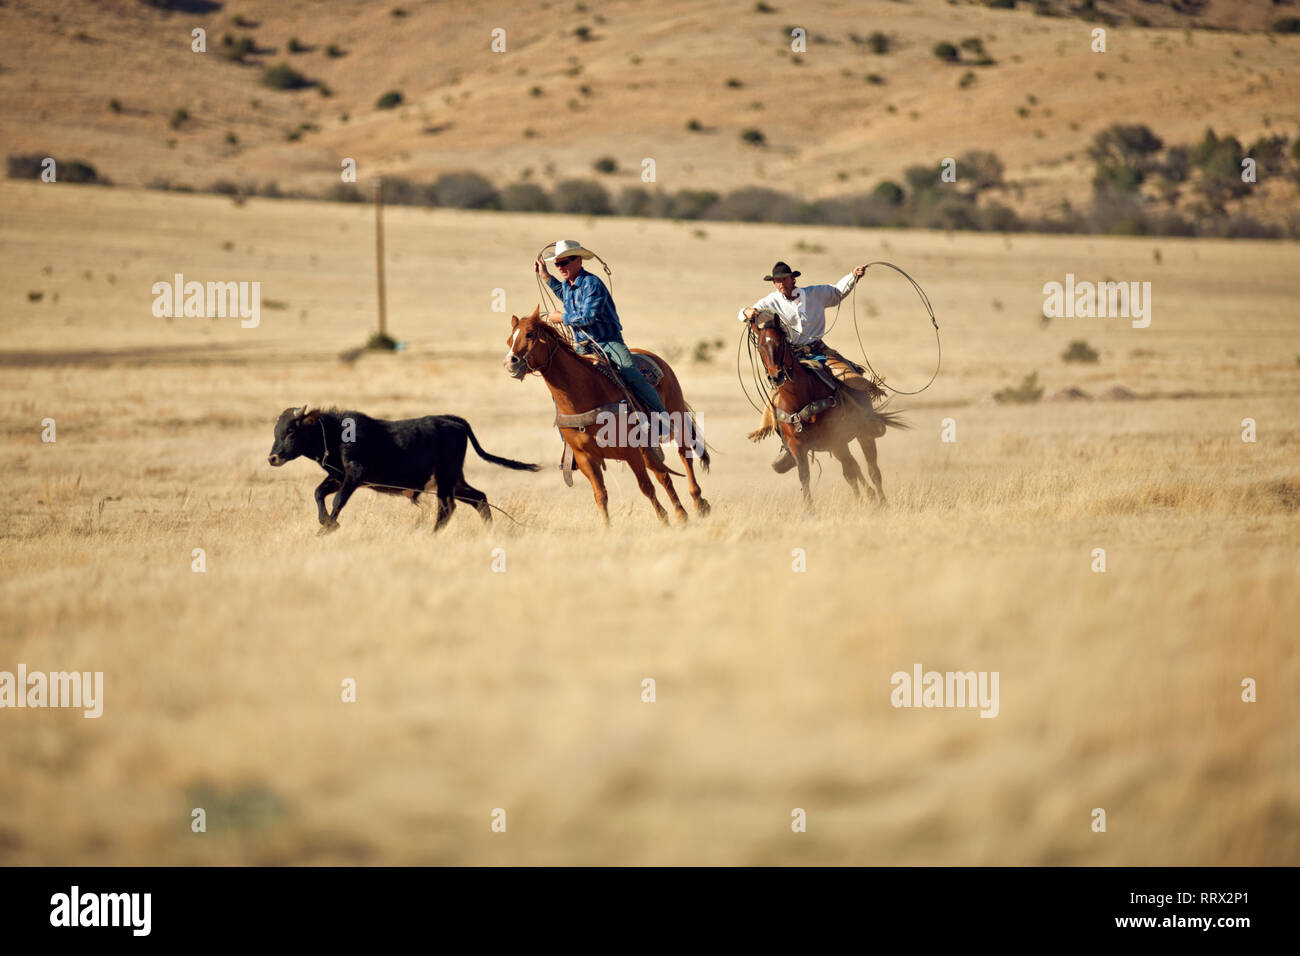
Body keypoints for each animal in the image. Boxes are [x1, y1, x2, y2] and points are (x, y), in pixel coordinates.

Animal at [504, 306, 712, 528]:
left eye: (529, 334)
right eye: (509, 340)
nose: (510, 362)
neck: (584, 394)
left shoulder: (630, 450)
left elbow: (645, 486)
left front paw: (663, 518)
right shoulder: (585, 458)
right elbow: (600, 494)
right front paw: (607, 526)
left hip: (677, 420)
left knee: (684, 457)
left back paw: (698, 503)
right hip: (647, 447)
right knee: (663, 474)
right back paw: (682, 512)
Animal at [748, 314, 909, 509]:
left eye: (781, 343)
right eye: (760, 347)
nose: (776, 376)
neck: (800, 400)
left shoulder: (836, 439)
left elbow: (852, 472)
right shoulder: (797, 446)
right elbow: (805, 476)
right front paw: (810, 510)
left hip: (861, 435)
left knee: (871, 469)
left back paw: (881, 502)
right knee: (853, 466)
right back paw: (869, 497)